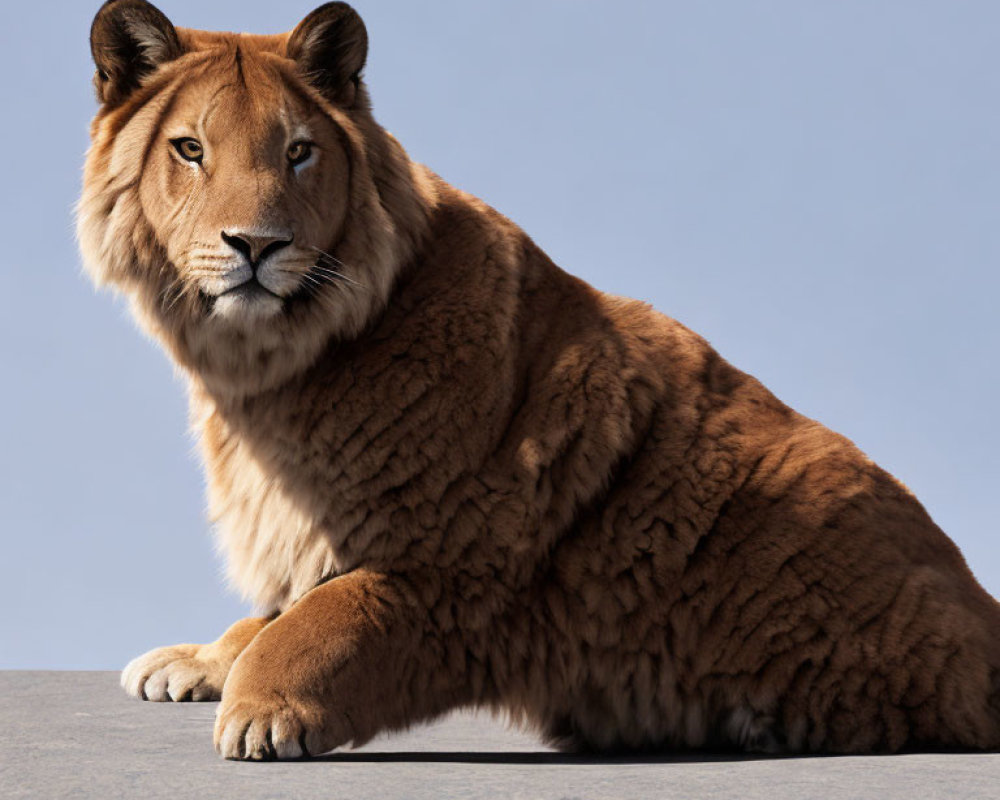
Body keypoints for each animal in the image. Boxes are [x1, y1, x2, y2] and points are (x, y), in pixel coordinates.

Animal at [80, 1, 1000, 764]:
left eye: (298, 153)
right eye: (190, 150)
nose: (255, 245)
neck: (268, 367)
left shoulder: (451, 568)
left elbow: (323, 620)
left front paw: (261, 712)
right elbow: (270, 613)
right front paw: (195, 662)